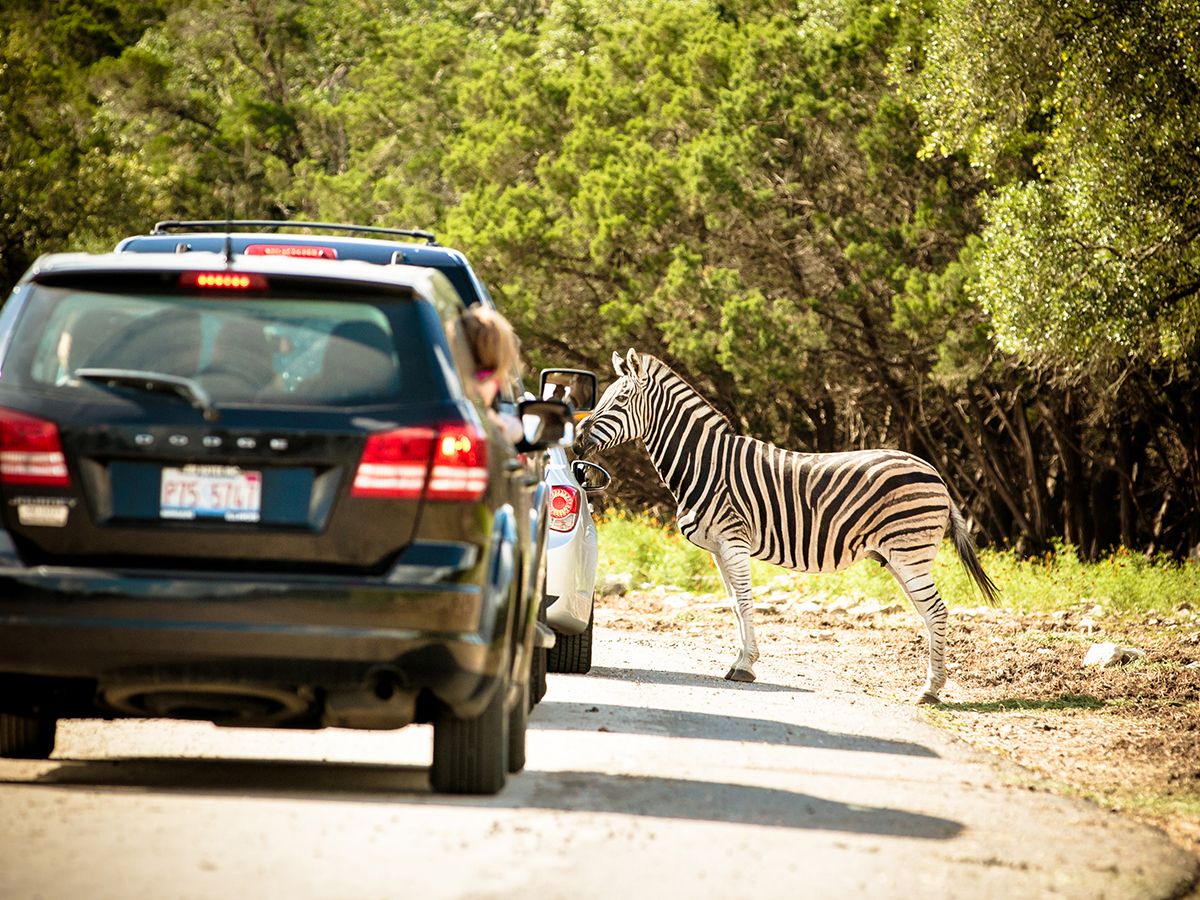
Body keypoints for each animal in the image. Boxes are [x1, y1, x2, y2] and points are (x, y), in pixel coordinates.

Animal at [573, 348, 1000, 703]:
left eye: (620, 400)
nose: (577, 441)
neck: (705, 463)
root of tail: (935, 474)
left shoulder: (733, 539)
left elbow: (746, 601)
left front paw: (745, 666)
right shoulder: (717, 549)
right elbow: (734, 604)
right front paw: (741, 660)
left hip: (910, 553)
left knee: (938, 611)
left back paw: (930, 690)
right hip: (899, 557)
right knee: (928, 613)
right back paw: (932, 685)